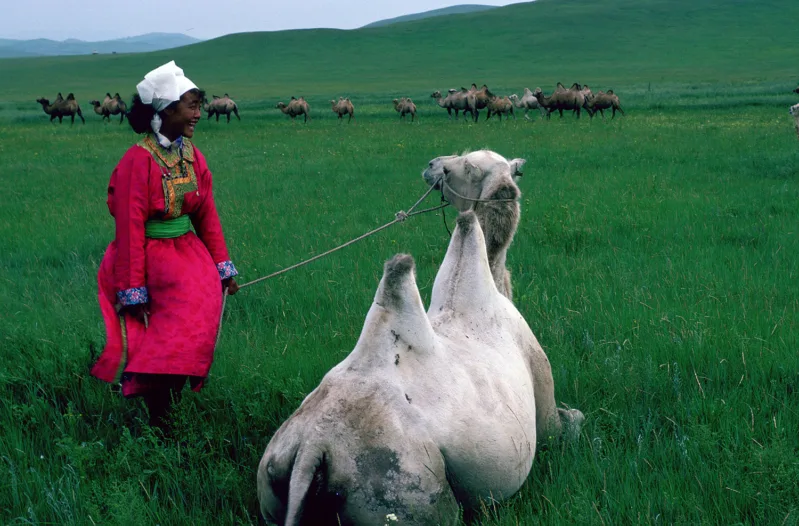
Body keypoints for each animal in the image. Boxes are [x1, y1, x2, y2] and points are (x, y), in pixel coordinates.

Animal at [260, 151, 584, 524]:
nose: (432, 165)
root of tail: (312, 447)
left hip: (272, 475)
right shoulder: (542, 397)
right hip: (409, 488)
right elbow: (567, 424)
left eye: (465, 166)